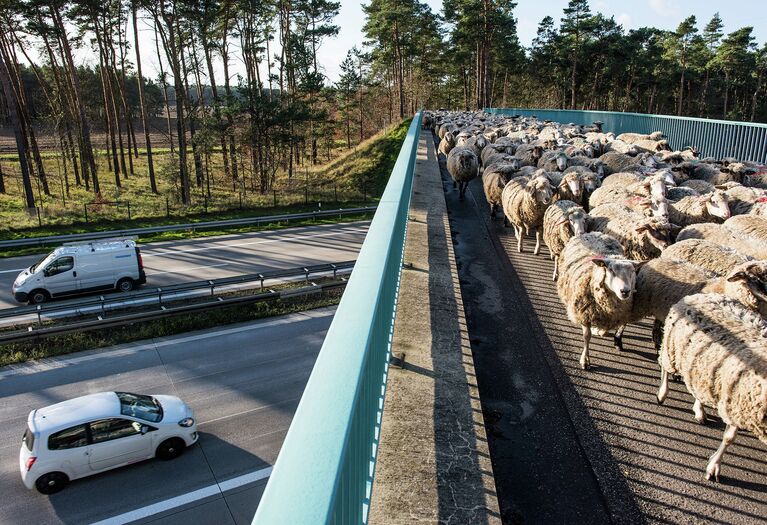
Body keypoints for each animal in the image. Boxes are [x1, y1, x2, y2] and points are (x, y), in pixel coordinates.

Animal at [556, 231, 640, 370]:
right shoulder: (584, 313)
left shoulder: (615, 314)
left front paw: (601, 331)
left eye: (632, 271)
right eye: (611, 270)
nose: (625, 291)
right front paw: (585, 360)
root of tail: (592, 233)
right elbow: (586, 337)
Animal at [656, 292, 767, 482]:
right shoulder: (735, 403)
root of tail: (699, 295)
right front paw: (714, 466)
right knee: (665, 368)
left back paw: (699, 410)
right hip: (672, 349)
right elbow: (729, 438)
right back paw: (662, 393)